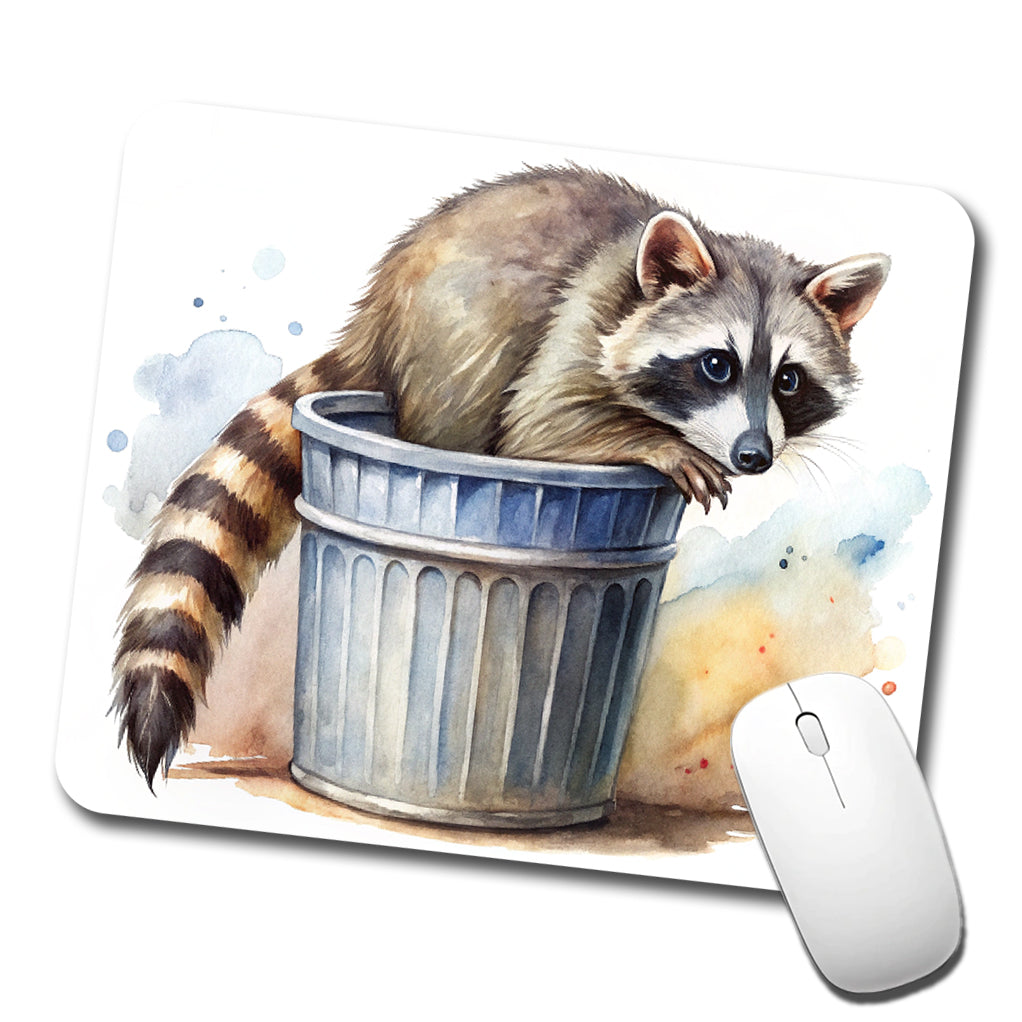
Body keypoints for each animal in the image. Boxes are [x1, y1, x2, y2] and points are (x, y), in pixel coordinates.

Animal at [113, 165, 889, 787]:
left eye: (789, 379)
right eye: (717, 364)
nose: (755, 455)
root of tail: (375, 314)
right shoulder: (582, 319)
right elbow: (540, 428)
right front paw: (658, 445)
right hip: (452, 339)